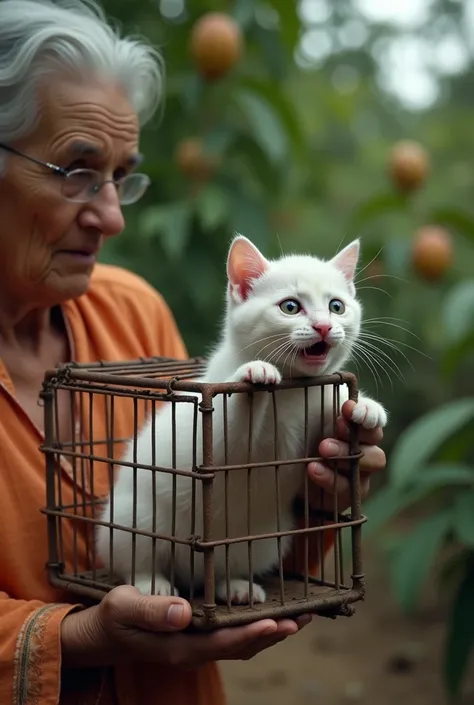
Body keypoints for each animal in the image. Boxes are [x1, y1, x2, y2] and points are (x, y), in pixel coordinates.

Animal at [95, 234, 386, 604]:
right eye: (290, 307)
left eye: (337, 306)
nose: (324, 326)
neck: (292, 391)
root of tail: (193, 569)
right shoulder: (216, 439)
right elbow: (233, 432)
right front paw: (256, 371)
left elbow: (327, 415)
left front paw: (365, 408)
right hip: (133, 516)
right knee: (134, 557)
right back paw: (152, 584)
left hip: (262, 540)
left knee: (224, 568)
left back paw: (234, 586)